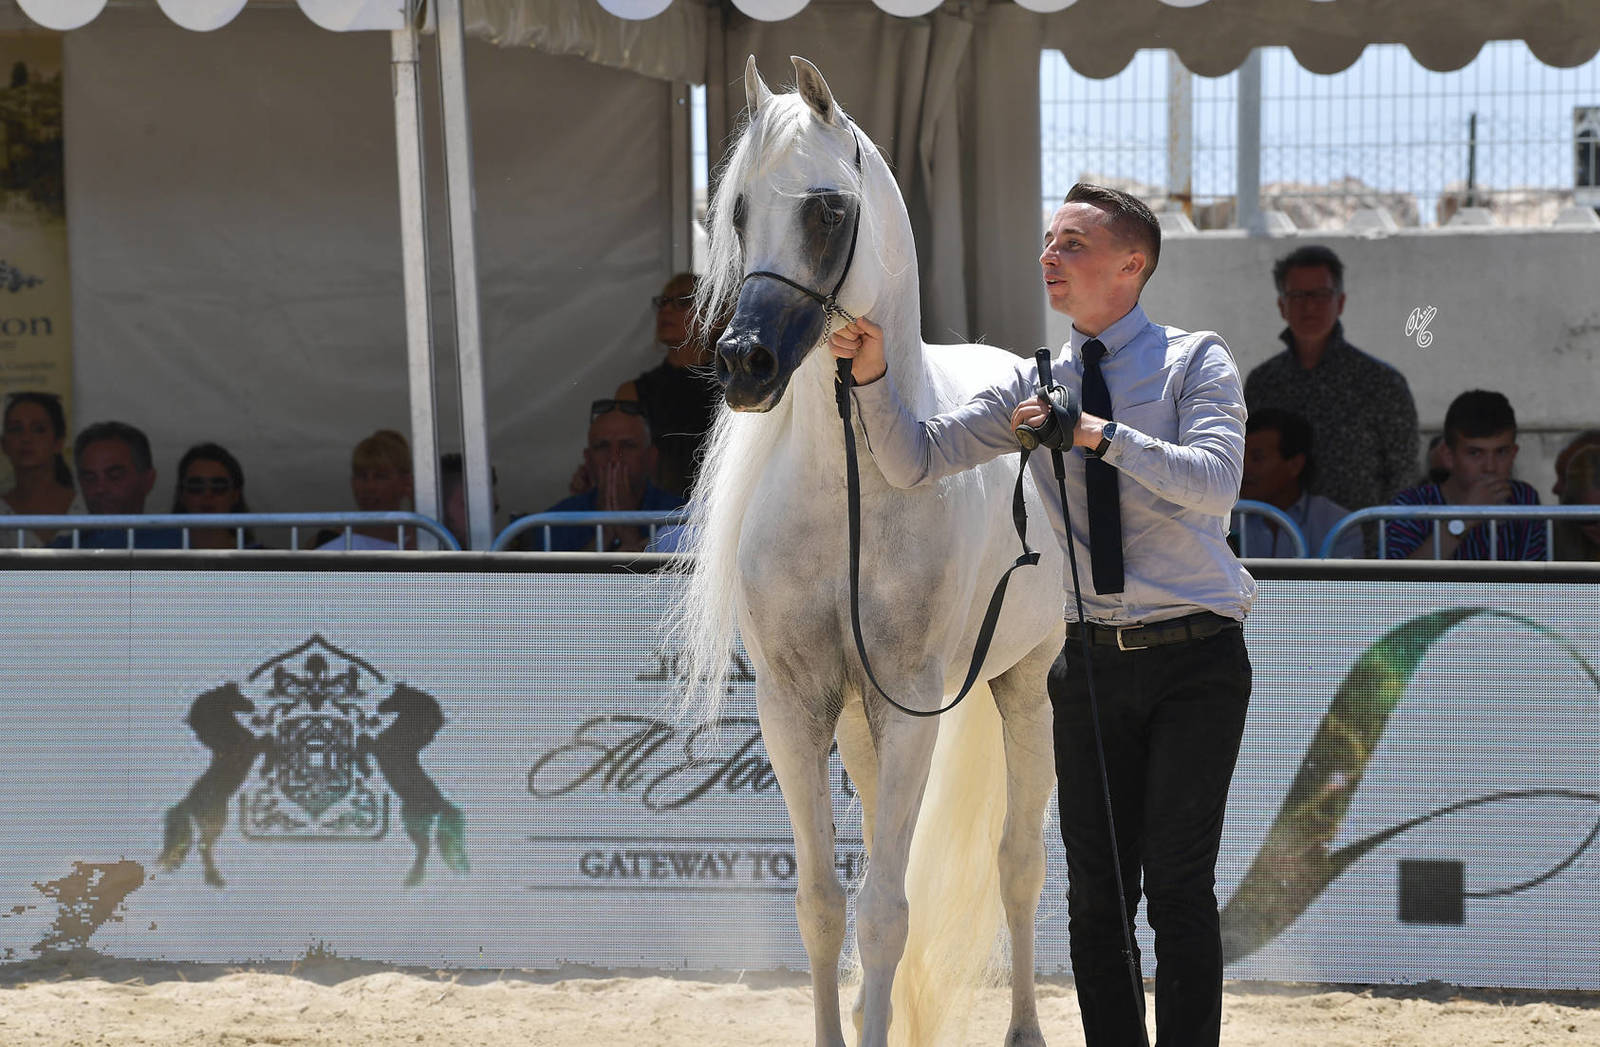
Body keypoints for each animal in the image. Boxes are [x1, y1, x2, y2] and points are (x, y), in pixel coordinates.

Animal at [159, 683, 265, 888]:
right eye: (236, 695)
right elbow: (270, 739)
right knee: (203, 845)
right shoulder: (254, 747)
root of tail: (188, 803)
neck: (227, 740)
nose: (252, 706)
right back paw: (215, 878)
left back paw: (213, 878)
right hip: (216, 819)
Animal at [366, 684, 469, 887]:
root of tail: (440, 804)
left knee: (424, 849)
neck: (405, 738)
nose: (380, 707)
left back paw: (412, 878)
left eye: (398, 696)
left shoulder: (376, 747)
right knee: (424, 848)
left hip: (411, 819)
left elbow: (362, 740)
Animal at [675, 56, 1066, 1047]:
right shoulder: (793, 707)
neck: (850, 493)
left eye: (826, 211)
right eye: (738, 211)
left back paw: (1023, 1026)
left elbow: (887, 907)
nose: (744, 363)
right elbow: (823, 903)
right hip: (859, 724)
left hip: (1023, 686)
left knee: (1018, 864)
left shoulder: (915, 703)